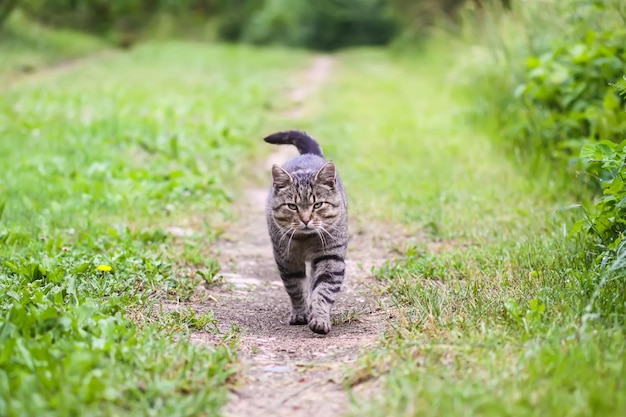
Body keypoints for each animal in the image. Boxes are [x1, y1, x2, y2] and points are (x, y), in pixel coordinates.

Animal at [262, 131, 348, 334]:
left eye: (318, 205)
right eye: (292, 206)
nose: (306, 219)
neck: (306, 239)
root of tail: (309, 154)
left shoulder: (331, 257)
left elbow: (323, 291)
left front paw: (320, 318)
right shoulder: (287, 259)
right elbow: (296, 289)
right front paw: (300, 313)